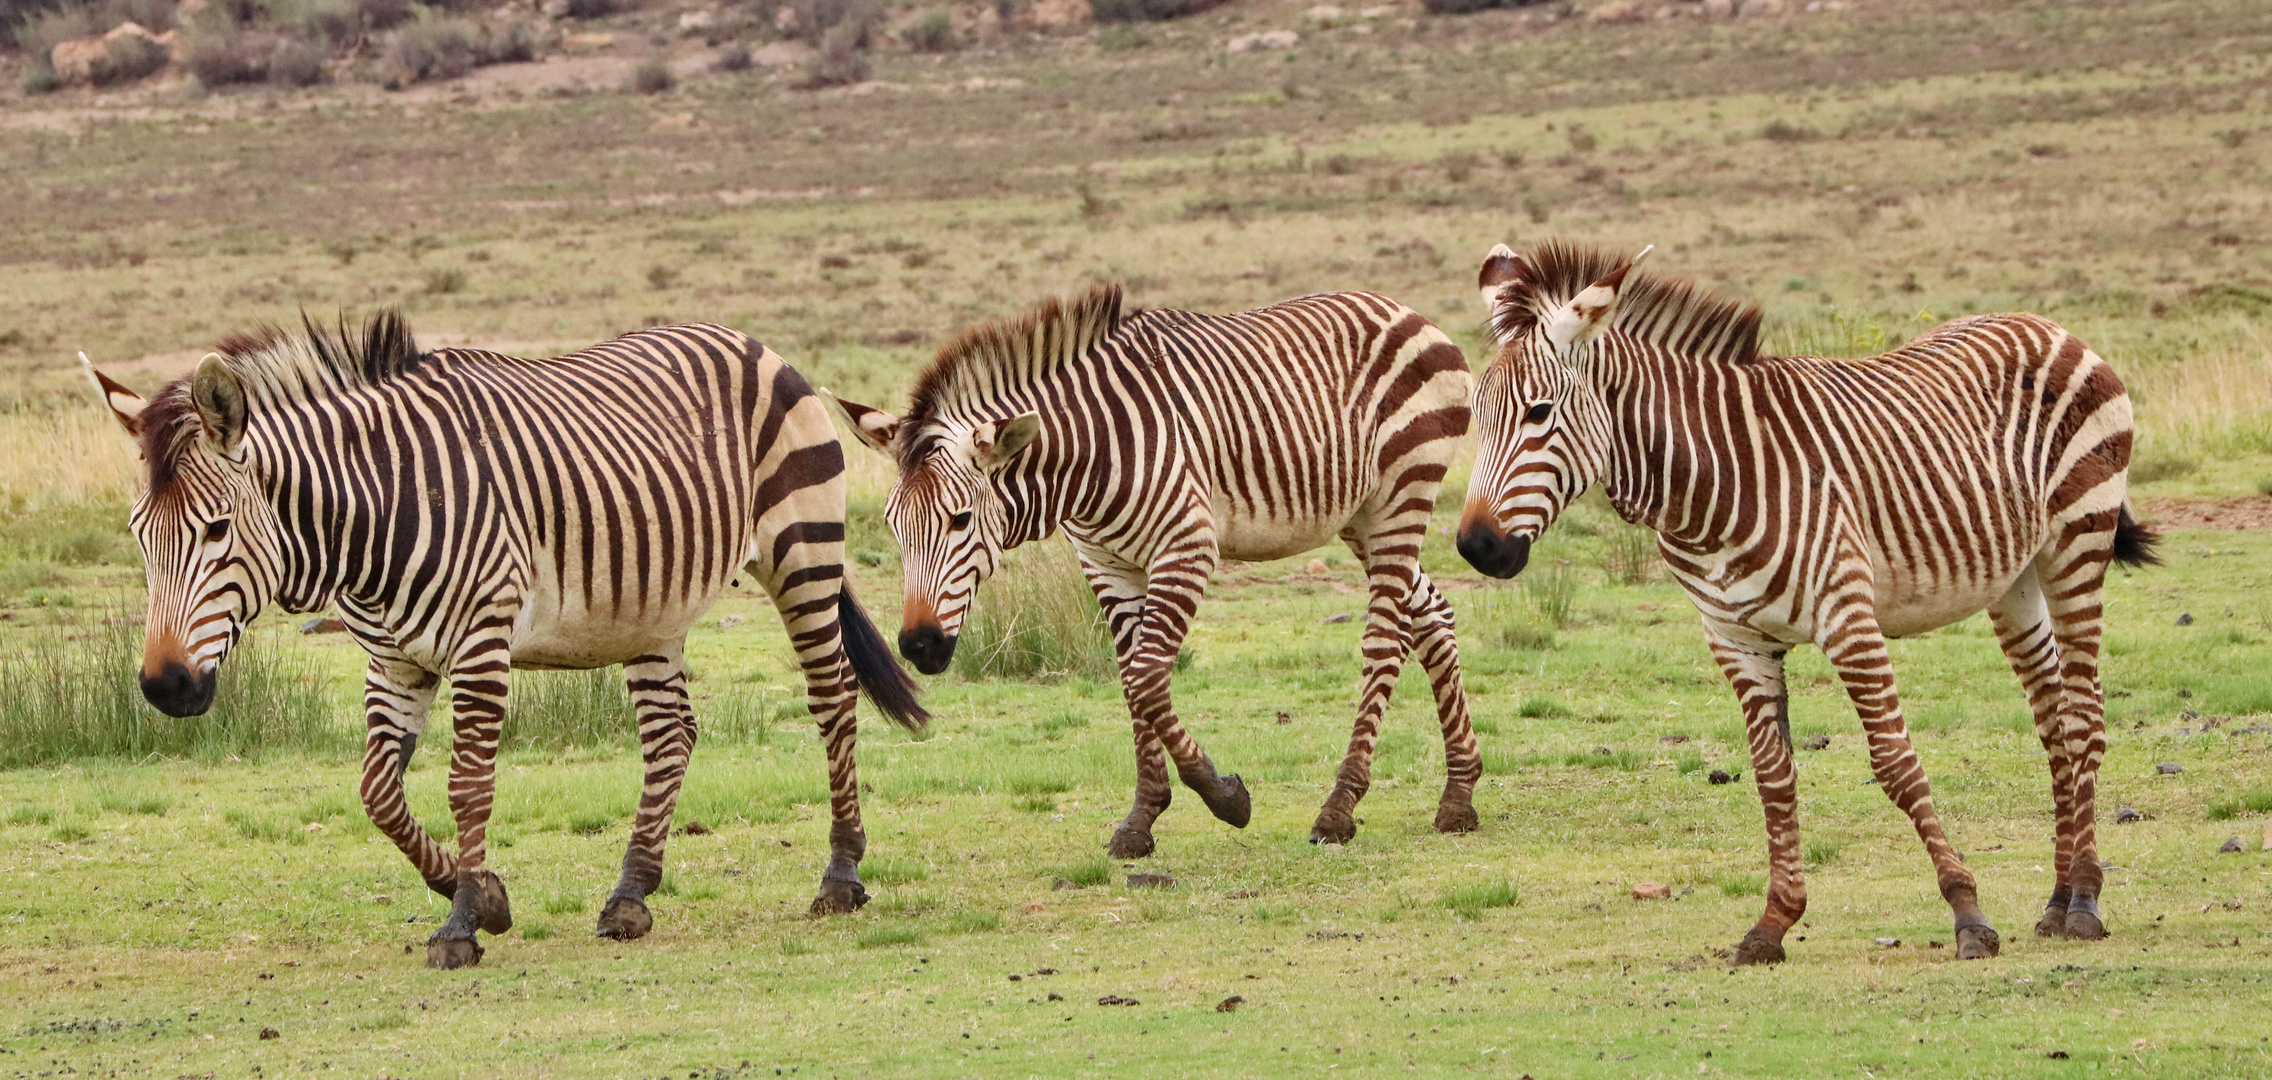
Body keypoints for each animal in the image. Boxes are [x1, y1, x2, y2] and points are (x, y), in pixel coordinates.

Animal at [86, 313, 922, 973]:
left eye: (216, 529)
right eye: (139, 534)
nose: (165, 686)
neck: (371, 517)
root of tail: (751, 341)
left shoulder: (481, 643)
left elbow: (468, 784)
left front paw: (459, 924)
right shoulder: (392, 660)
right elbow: (378, 793)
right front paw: (482, 895)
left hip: (802, 552)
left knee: (832, 699)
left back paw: (840, 875)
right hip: (652, 608)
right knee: (671, 734)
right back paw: (631, 893)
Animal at [827, 285, 1481, 854]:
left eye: (960, 520)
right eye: (892, 525)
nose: (919, 646)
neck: (1085, 457)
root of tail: (1404, 309)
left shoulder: (1186, 548)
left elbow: (1145, 677)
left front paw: (1223, 797)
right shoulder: (1107, 565)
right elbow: (1129, 678)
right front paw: (1141, 819)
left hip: (1402, 495)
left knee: (1385, 640)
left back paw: (1340, 809)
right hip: (1360, 516)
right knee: (1432, 616)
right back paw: (1459, 796)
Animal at [1463, 241, 2153, 968]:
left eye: (1539, 413)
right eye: (1474, 416)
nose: (1477, 546)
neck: (1709, 485)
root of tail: (2049, 325)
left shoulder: (1848, 618)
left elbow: (1896, 764)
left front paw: (1967, 912)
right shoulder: (1735, 639)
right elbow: (1773, 777)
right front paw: (1774, 922)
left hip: (2077, 544)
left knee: (2084, 720)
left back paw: (2084, 901)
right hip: (2014, 579)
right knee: (2054, 722)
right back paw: (2056, 898)